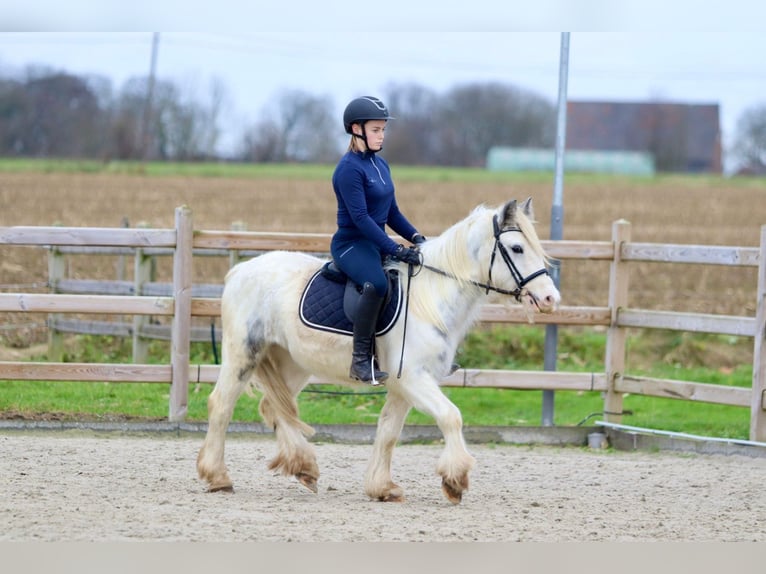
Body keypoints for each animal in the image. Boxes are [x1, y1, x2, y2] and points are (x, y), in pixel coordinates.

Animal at [195, 200, 560, 506]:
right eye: (517, 248)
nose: (550, 299)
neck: (431, 298)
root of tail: (240, 271)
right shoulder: (414, 379)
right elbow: (450, 416)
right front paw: (455, 480)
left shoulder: (403, 385)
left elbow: (388, 433)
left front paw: (382, 488)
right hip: (243, 354)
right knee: (221, 405)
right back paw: (218, 477)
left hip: (293, 363)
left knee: (273, 408)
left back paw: (304, 467)